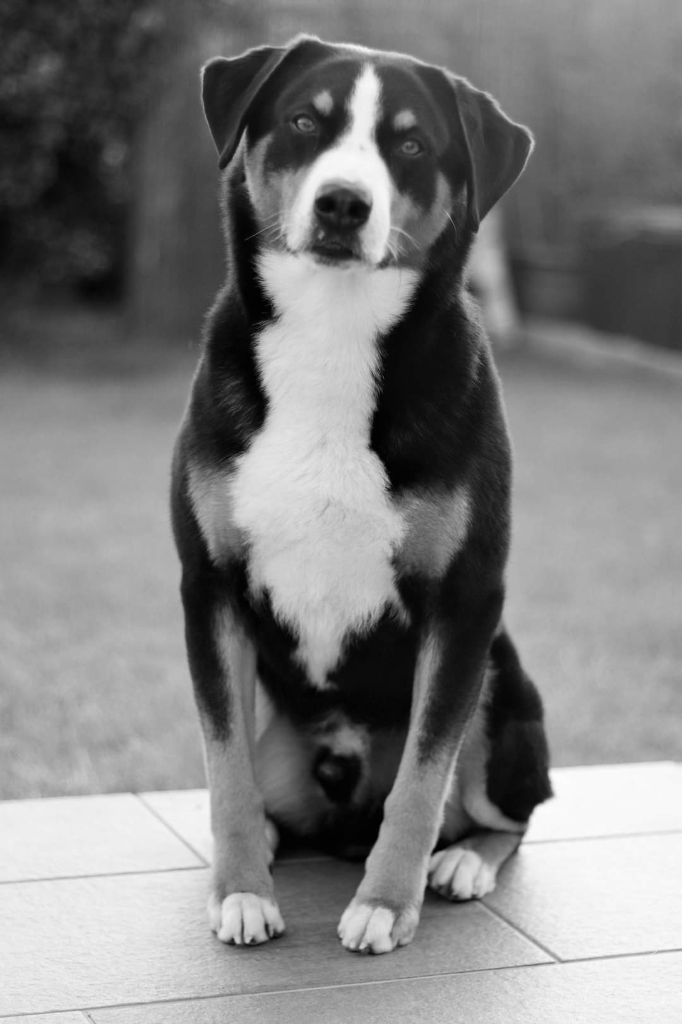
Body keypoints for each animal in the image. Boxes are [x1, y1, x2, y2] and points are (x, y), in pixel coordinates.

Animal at [171, 34, 552, 955]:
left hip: (499, 679)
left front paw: (386, 904)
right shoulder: (210, 588)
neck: (331, 338)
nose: (344, 203)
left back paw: (463, 862)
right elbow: (224, 766)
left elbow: (421, 778)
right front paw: (241, 891)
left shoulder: (464, 603)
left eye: (410, 143)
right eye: (306, 122)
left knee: (510, 813)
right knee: (264, 790)